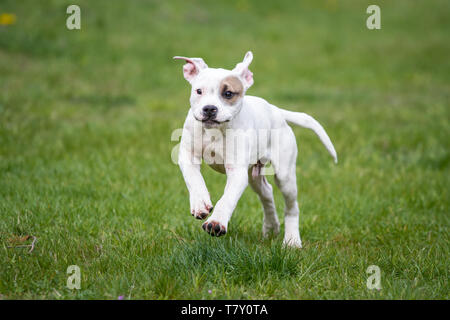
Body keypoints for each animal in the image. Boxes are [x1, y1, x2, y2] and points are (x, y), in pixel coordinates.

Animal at [174, 52, 336, 248]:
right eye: (199, 91)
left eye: (228, 93)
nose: (209, 109)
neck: (216, 131)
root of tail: (275, 110)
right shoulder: (187, 155)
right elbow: (194, 179)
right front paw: (200, 203)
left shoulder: (237, 172)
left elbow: (227, 198)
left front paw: (216, 222)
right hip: (254, 175)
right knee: (267, 193)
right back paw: (271, 227)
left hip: (285, 175)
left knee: (291, 207)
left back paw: (292, 240)